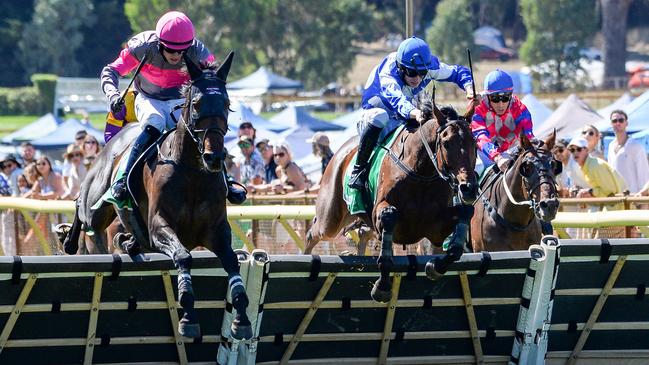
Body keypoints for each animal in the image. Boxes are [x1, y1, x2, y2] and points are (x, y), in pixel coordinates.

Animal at [57, 52, 253, 340]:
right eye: (196, 104)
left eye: (227, 104)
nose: (214, 157)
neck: (192, 172)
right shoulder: (160, 227)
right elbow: (183, 256)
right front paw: (188, 315)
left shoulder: (216, 230)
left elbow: (232, 263)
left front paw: (241, 318)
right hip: (96, 205)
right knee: (81, 207)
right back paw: (68, 238)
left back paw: (128, 242)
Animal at [304, 96, 476, 302]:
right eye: (447, 143)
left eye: (474, 143)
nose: (468, 189)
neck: (421, 173)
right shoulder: (382, 212)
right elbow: (389, 216)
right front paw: (382, 286)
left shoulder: (435, 228)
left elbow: (464, 218)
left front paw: (435, 267)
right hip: (330, 219)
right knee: (312, 233)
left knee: (362, 233)